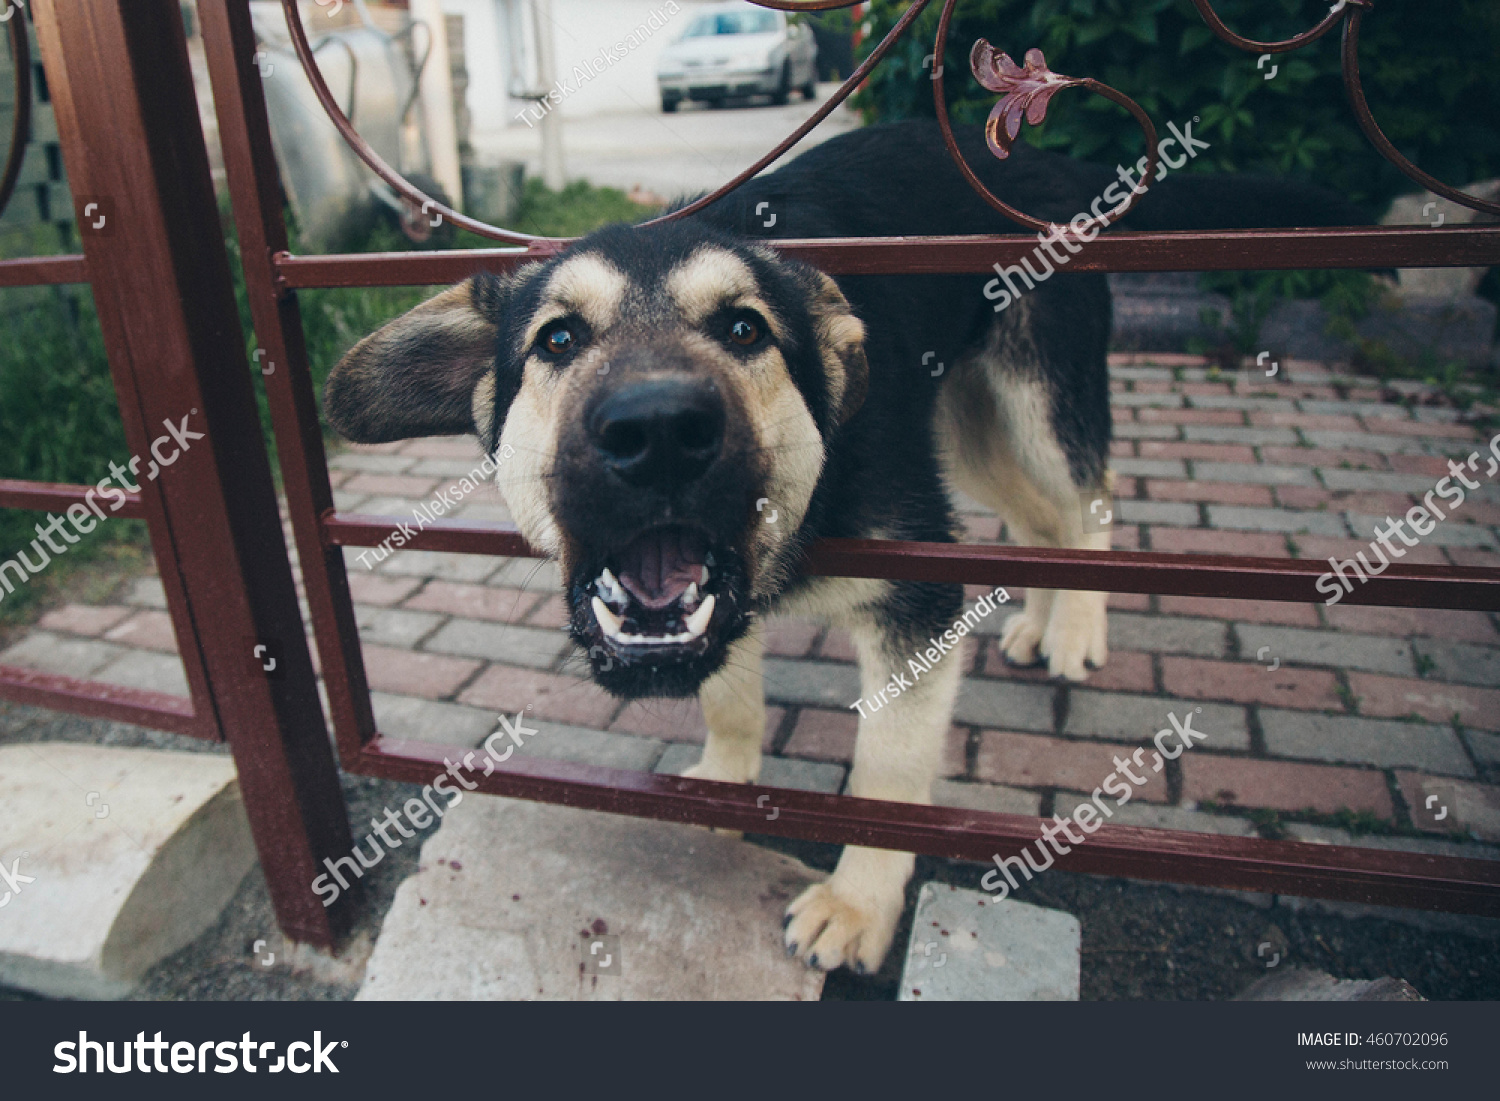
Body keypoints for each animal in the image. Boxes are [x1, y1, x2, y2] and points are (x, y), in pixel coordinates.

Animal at [325, 118, 1374, 972]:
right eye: (556, 340)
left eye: (744, 328)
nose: (657, 430)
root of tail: (1046, 158)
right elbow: (730, 696)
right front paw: (727, 785)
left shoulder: (918, 595)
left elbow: (889, 772)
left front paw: (859, 903)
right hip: (968, 431)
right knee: (1037, 522)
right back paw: (1038, 619)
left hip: (1032, 401)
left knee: (1089, 505)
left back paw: (1076, 623)